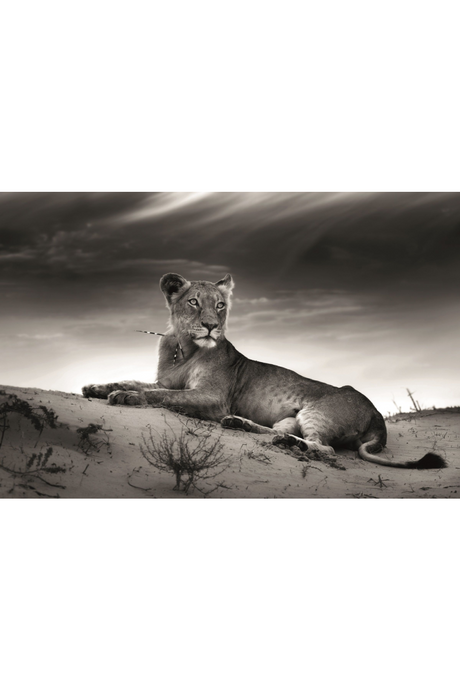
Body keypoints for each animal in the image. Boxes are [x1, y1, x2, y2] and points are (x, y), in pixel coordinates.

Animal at [82, 273, 446, 469]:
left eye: (220, 305)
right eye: (193, 302)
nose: (212, 326)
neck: (183, 347)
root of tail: (378, 417)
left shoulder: (213, 397)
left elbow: (161, 396)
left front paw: (126, 397)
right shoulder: (168, 380)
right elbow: (139, 382)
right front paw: (97, 388)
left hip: (317, 412)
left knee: (323, 447)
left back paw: (287, 444)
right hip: (290, 417)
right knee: (277, 431)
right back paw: (244, 425)